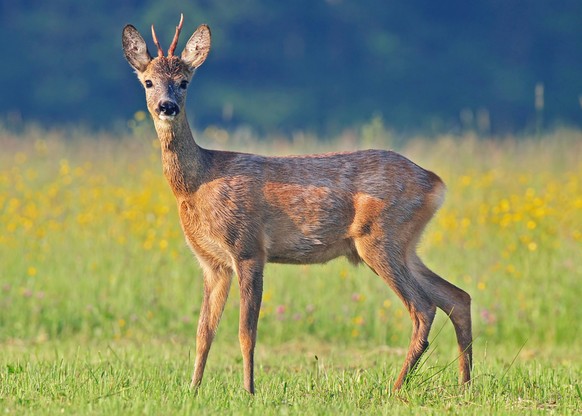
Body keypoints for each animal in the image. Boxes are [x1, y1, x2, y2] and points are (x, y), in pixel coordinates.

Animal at [123, 14, 474, 394]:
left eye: (184, 82)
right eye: (148, 82)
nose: (167, 106)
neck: (197, 183)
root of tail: (435, 183)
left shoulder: (248, 248)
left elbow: (246, 332)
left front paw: (249, 390)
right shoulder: (212, 263)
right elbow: (204, 332)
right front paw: (193, 389)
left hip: (380, 237)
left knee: (424, 307)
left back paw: (396, 387)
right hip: (406, 245)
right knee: (458, 297)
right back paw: (465, 385)